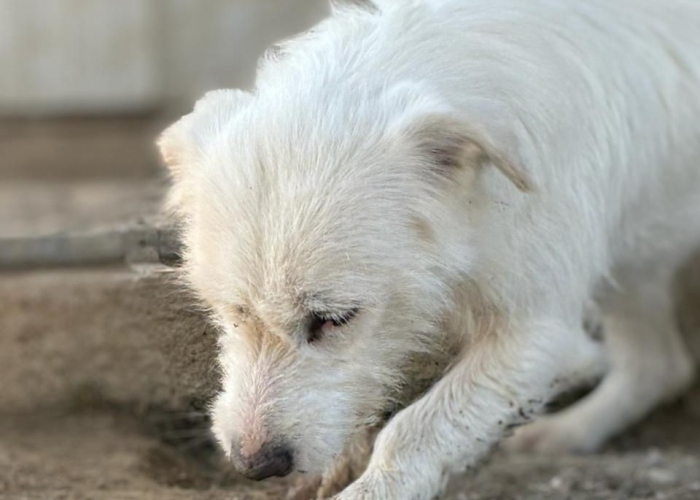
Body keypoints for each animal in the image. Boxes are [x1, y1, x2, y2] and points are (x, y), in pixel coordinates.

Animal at [159, 1, 700, 498]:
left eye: (335, 319)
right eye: (235, 313)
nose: (255, 464)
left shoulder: (537, 335)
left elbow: (419, 429)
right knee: (659, 364)